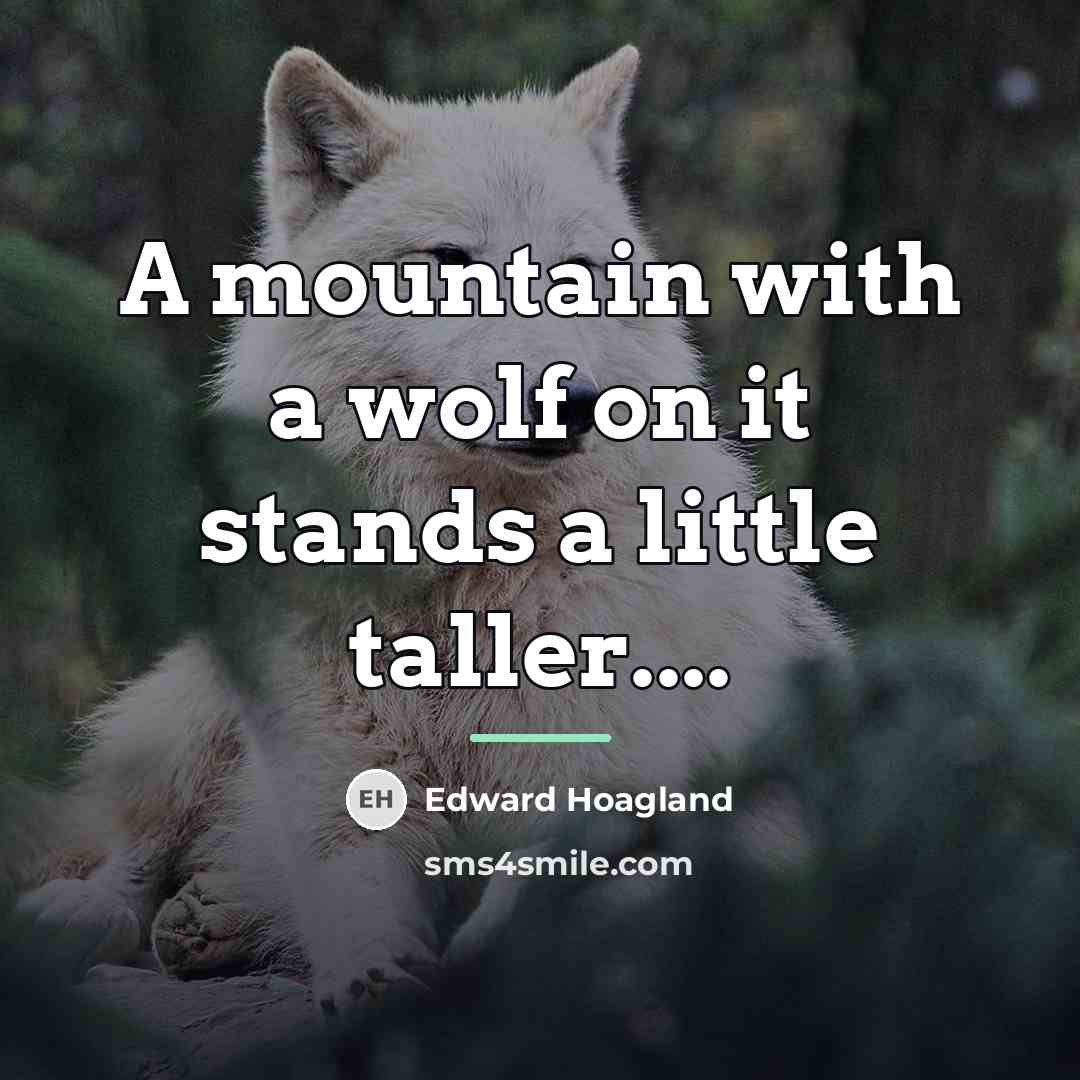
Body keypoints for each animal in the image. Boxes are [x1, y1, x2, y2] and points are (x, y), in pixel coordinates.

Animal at [16, 45, 841, 1019]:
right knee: (137, 853)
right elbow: (347, 885)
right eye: (452, 261)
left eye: (578, 270)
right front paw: (373, 978)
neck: (461, 574)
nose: (571, 400)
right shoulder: (341, 776)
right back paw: (101, 914)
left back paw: (209, 920)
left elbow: (535, 906)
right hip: (210, 696)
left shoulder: (597, 785)